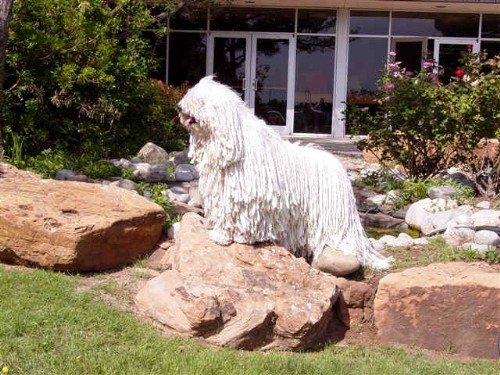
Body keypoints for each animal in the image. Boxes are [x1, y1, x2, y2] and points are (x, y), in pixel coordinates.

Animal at [178, 75, 392, 270]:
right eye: (190, 94)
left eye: (199, 100)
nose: (179, 107)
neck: (235, 142)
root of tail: (338, 166)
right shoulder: (222, 191)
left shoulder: (248, 196)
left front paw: (230, 237)